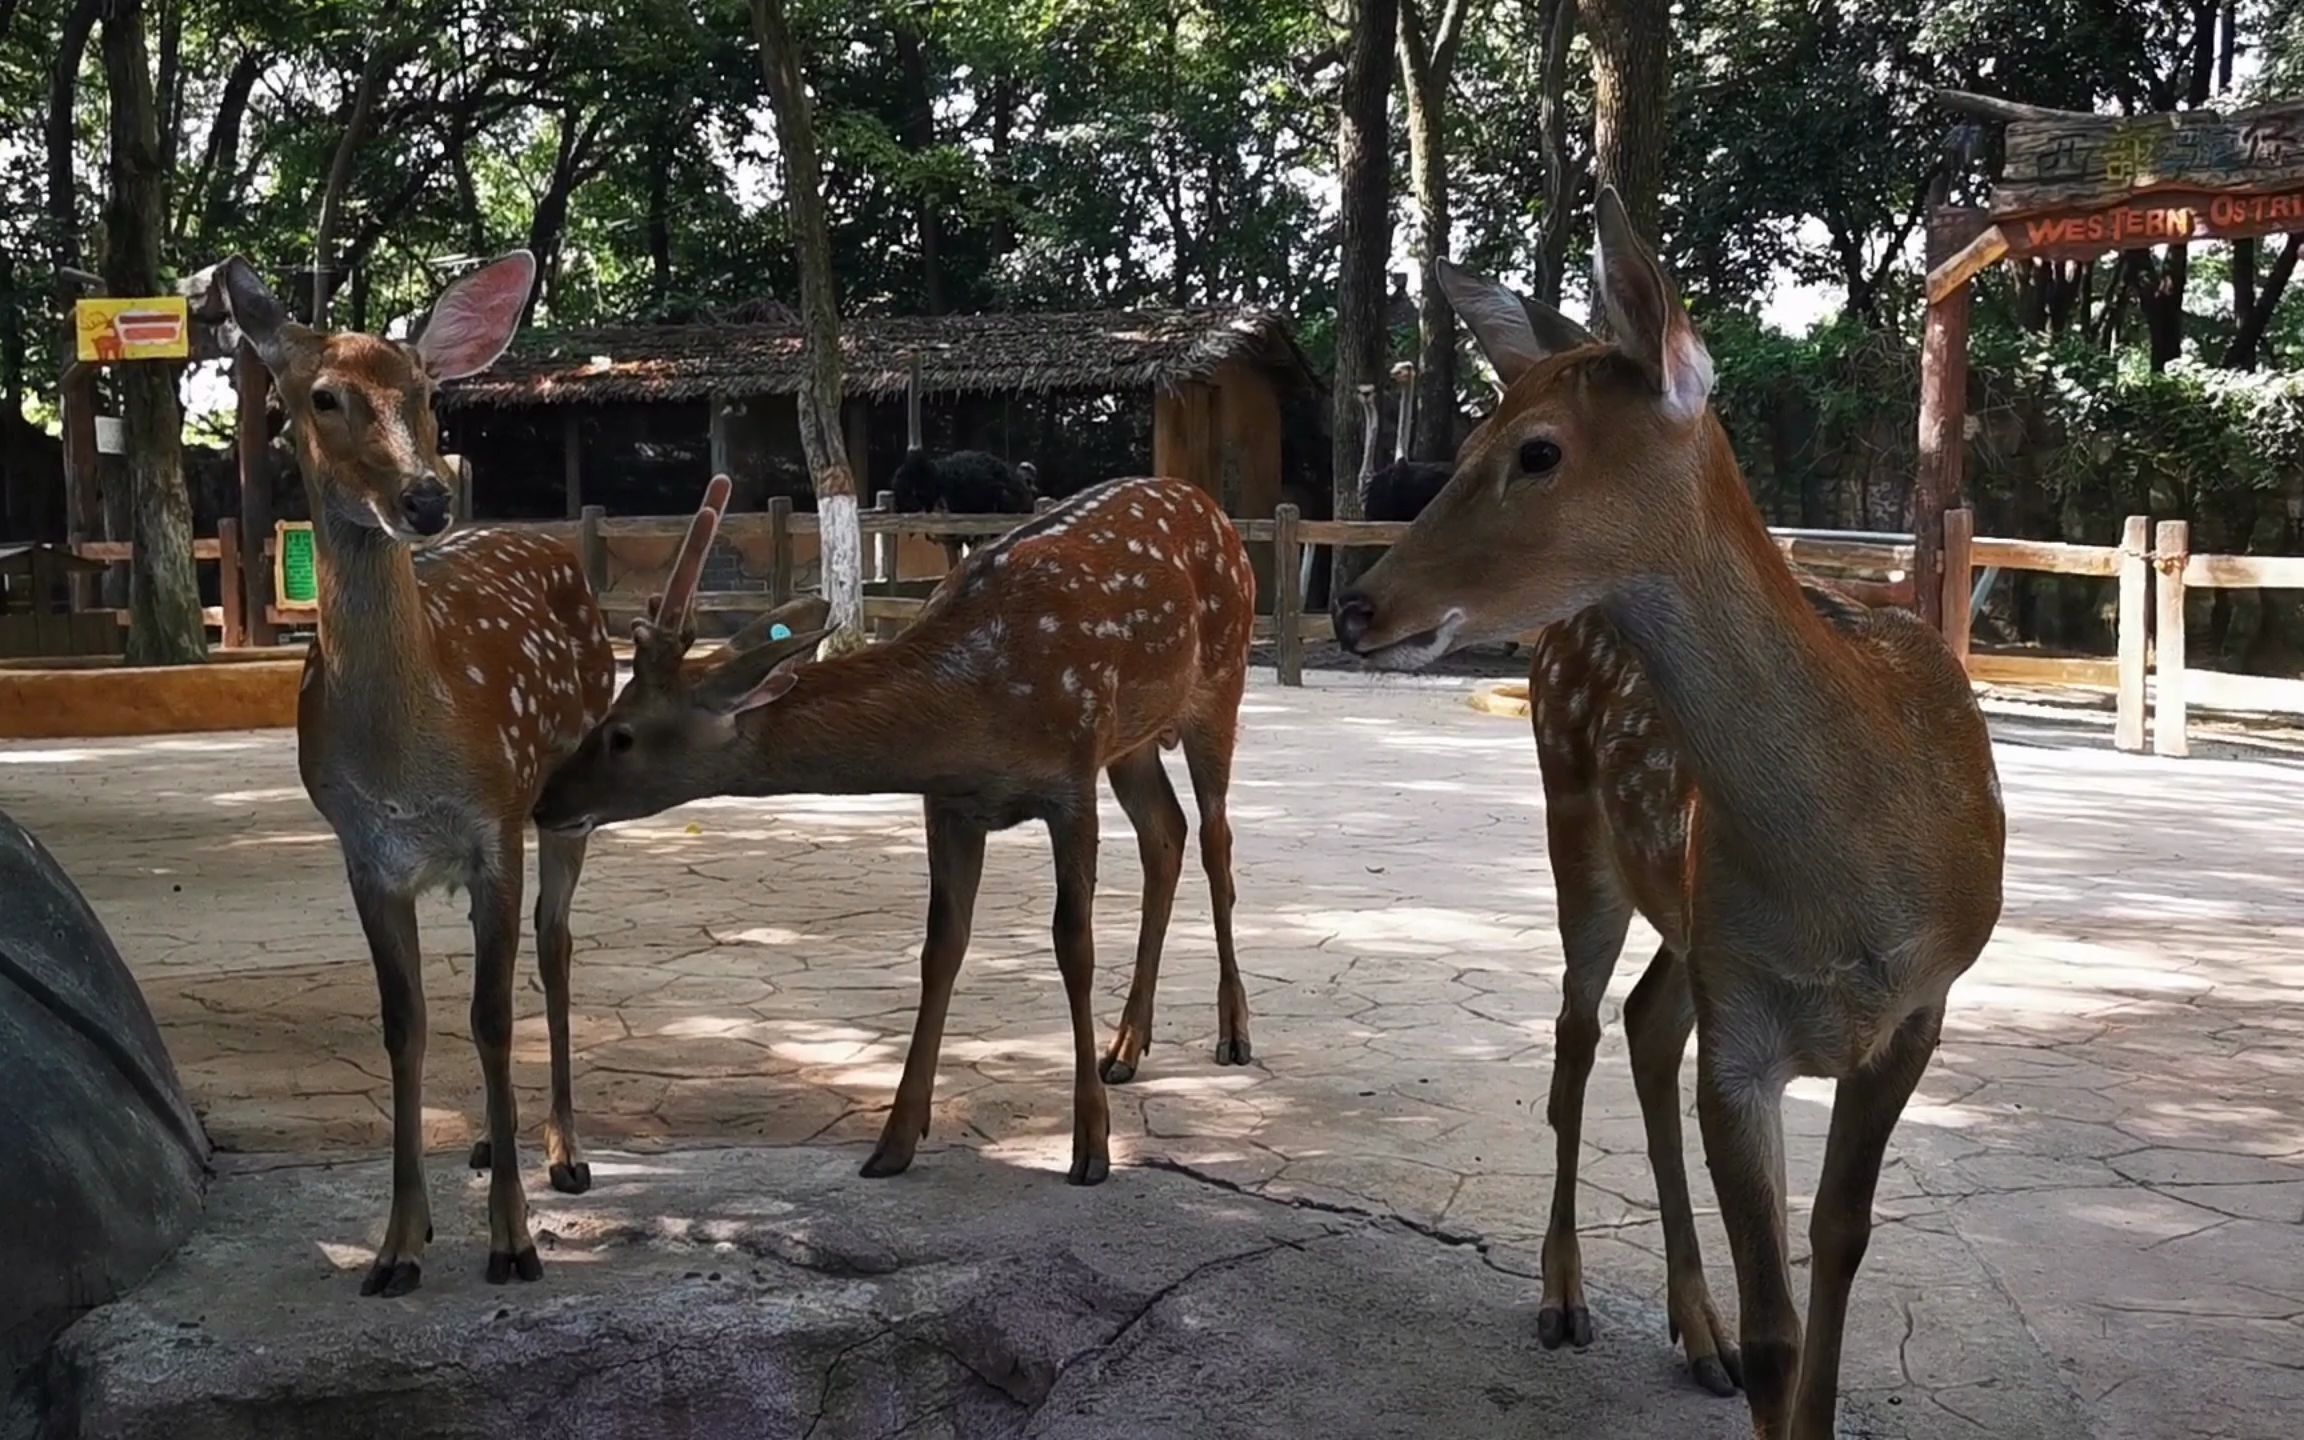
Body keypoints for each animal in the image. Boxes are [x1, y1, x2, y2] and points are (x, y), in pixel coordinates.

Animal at [216, 246, 631, 1290]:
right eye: (322, 396)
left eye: (426, 392)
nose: (428, 498)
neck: (411, 746)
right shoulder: (367, 854)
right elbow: (403, 1025)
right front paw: (400, 1245)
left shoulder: (493, 826)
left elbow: (489, 1015)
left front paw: (513, 1239)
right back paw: (490, 1140)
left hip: (568, 799)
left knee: (555, 948)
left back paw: (563, 1152)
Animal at [534, 476, 1262, 1188]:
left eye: (621, 735)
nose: (545, 803)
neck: (979, 707)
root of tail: (1216, 511)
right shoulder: (949, 804)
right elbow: (940, 948)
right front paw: (895, 1140)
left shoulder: (1072, 776)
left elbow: (1073, 947)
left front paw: (1091, 1147)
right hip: (1133, 741)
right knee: (1165, 834)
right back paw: (1127, 1046)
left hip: (1221, 683)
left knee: (1215, 841)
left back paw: (1232, 1034)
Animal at [1327, 191, 2009, 1437]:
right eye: (1471, 440)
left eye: (1537, 450)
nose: (1358, 607)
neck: (1852, 873)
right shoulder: (1741, 1029)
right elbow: (1779, 1330)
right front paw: (1742, 1343)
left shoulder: (1920, 1009)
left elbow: (1839, 1252)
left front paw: (1765, 1351)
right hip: (1577, 828)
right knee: (1577, 1034)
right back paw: (1567, 1297)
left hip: (1681, 915)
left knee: (1643, 1022)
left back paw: (1694, 1331)